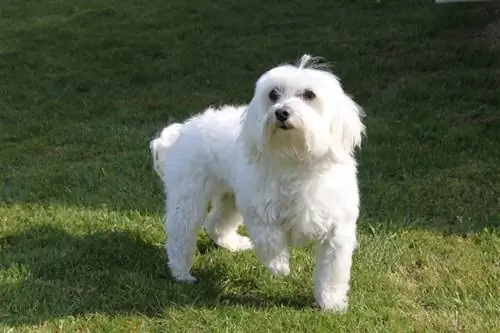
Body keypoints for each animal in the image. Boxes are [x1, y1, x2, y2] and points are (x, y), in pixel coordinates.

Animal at [150, 55, 366, 312]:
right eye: (273, 94)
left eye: (309, 95)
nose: (281, 112)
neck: (295, 160)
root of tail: (183, 130)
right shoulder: (260, 212)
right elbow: (269, 240)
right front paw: (279, 266)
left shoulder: (337, 231)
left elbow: (332, 272)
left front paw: (331, 302)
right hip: (189, 197)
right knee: (180, 234)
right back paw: (182, 272)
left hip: (230, 198)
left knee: (216, 223)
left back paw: (233, 244)